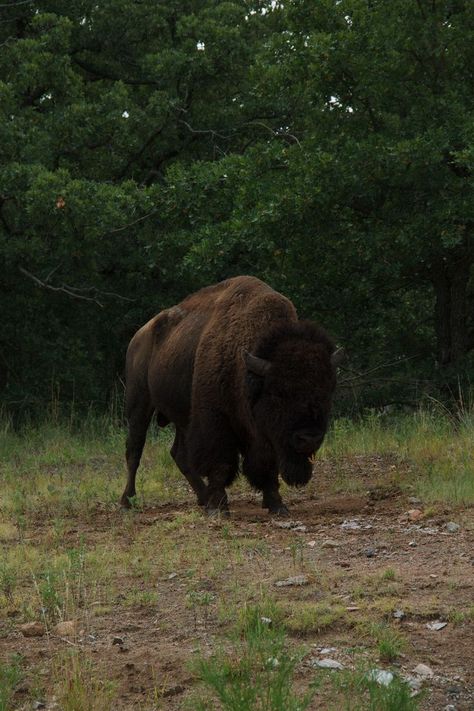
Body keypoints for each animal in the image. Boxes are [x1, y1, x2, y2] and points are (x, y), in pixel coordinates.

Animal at [118, 276, 340, 516]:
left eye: (326, 392)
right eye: (278, 393)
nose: (309, 438)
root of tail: (138, 336)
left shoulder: (262, 434)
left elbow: (267, 465)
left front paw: (277, 504)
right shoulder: (215, 420)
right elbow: (220, 464)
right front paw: (218, 508)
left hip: (182, 417)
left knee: (178, 454)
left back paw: (202, 497)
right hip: (139, 404)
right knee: (134, 449)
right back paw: (127, 501)